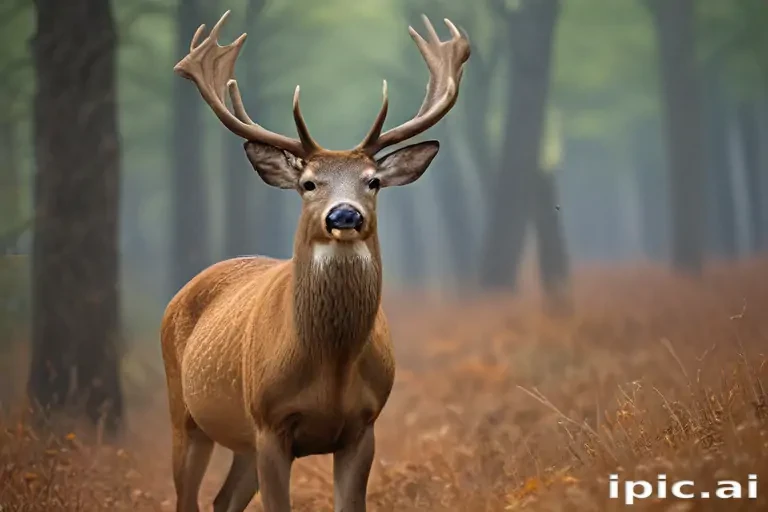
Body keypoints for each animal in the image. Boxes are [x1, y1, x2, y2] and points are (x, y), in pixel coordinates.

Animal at [161, 9, 469, 512]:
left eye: (373, 181)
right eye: (308, 183)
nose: (344, 214)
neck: (331, 367)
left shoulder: (364, 425)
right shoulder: (269, 422)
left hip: (241, 442)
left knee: (222, 500)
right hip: (184, 413)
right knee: (188, 496)